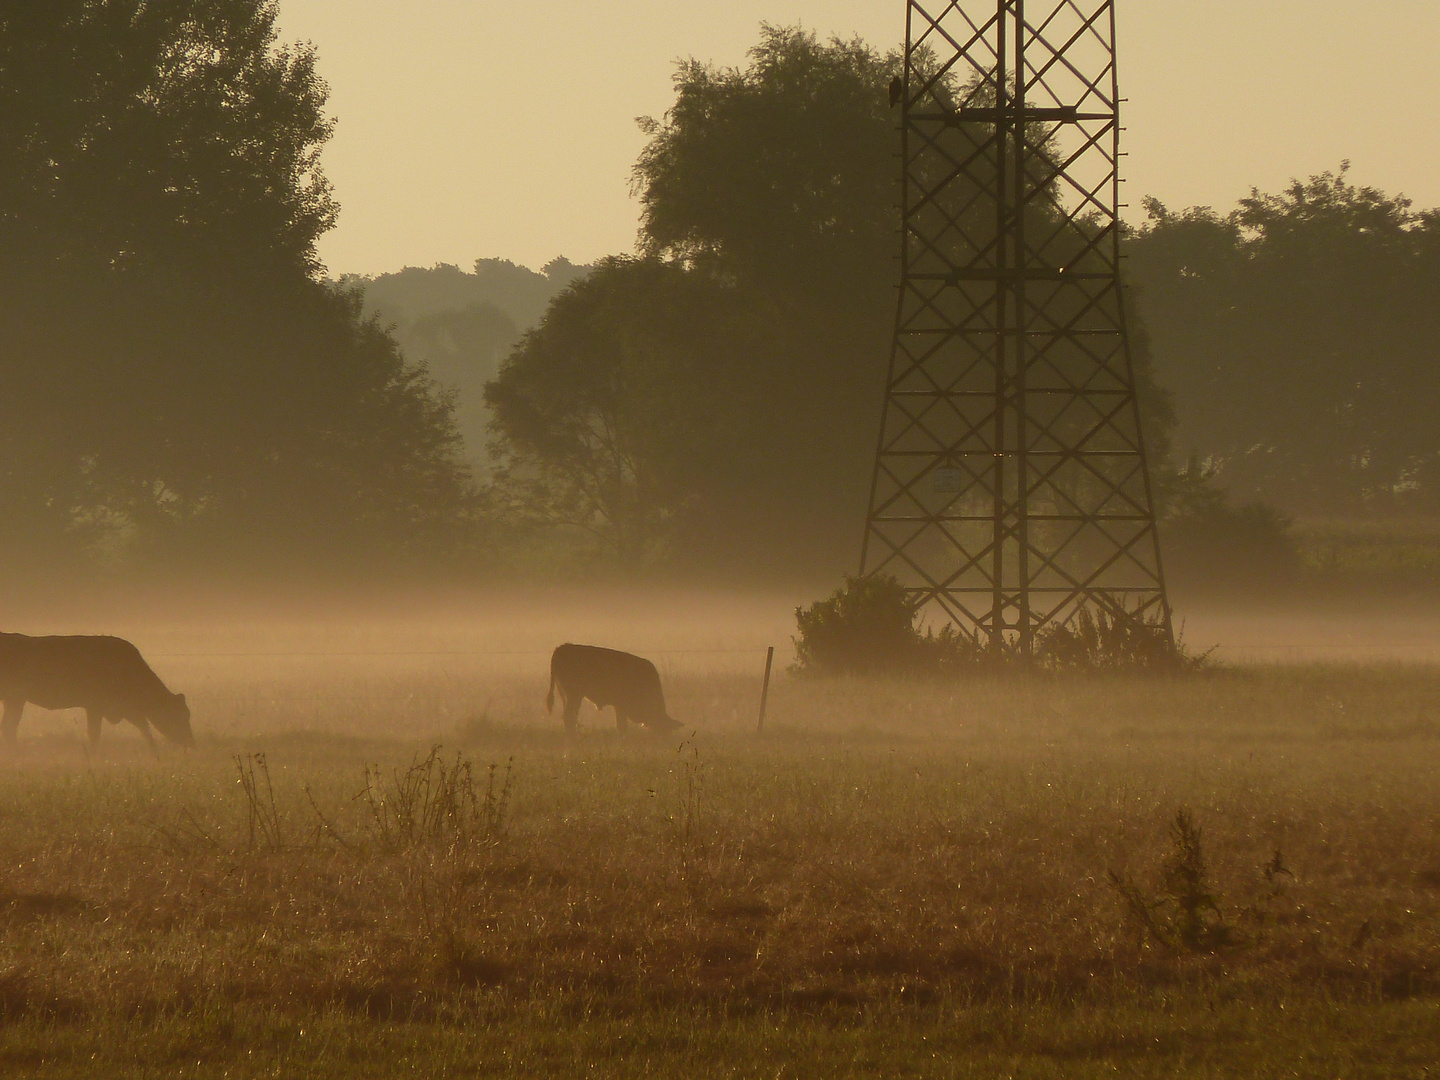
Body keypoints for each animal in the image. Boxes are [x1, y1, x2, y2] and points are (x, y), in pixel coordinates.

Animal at [0, 633, 192, 754]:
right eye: (179, 716)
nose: (190, 741)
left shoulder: (126, 708)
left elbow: (144, 728)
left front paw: (154, 750)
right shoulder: (95, 706)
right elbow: (95, 733)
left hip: (14, 700)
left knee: (8, 726)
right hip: (15, 698)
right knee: (9, 726)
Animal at [544, 642, 679, 737]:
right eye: (665, 728)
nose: (664, 738)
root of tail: (562, 647)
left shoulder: (619, 706)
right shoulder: (621, 705)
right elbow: (622, 725)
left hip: (571, 696)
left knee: (571, 716)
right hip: (574, 695)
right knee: (568, 716)